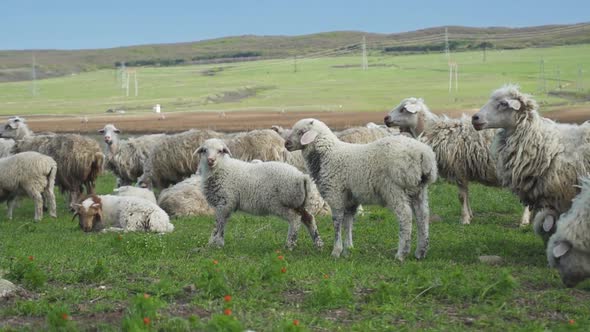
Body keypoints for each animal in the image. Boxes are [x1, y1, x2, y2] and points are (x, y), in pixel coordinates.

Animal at [195, 137, 324, 249]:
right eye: (204, 150)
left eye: (220, 151)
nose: (210, 160)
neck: (221, 168)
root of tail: (302, 177)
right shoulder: (224, 205)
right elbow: (220, 224)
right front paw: (216, 243)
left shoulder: (225, 202)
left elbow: (218, 225)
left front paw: (215, 244)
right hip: (298, 202)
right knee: (309, 218)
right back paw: (318, 244)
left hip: (280, 203)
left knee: (295, 219)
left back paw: (289, 244)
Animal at [284, 118, 438, 260]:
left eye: (301, 132)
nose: (286, 144)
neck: (327, 154)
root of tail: (423, 155)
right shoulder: (351, 200)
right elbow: (348, 223)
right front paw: (348, 249)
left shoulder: (335, 194)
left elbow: (337, 223)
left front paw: (336, 251)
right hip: (418, 190)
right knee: (423, 216)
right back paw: (421, 252)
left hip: (395, 188)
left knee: (405, 216)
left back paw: (401, 254)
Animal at [386, 96, 536, 226]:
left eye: (403, 109)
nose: (386, 118)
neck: (432, 130)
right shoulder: (465, 171)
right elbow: (467, 195)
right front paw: (470, 215)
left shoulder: (459, 169)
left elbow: (461, 196)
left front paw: (464, 219)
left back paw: (524, 221)